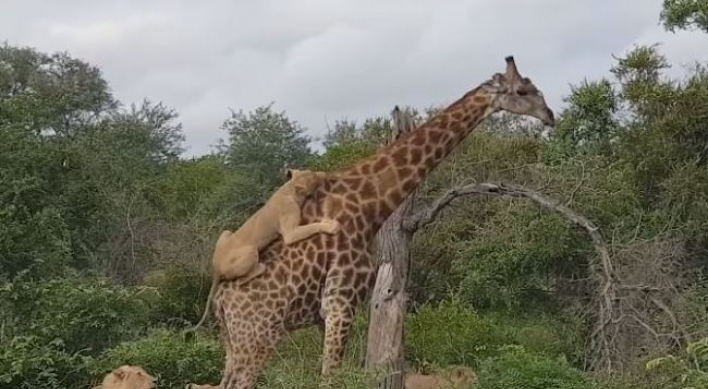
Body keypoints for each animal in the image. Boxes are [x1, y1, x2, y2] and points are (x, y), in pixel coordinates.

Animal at [187, 168, 342, 332]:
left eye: (310, 171)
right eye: (313, 178)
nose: (324, 173)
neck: (289, 189)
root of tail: (215, 268)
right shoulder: (290, 232)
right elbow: (311, 226)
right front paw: (330, 226)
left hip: (226, 232)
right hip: (250, 251)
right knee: (240, 280)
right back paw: (260, 266)